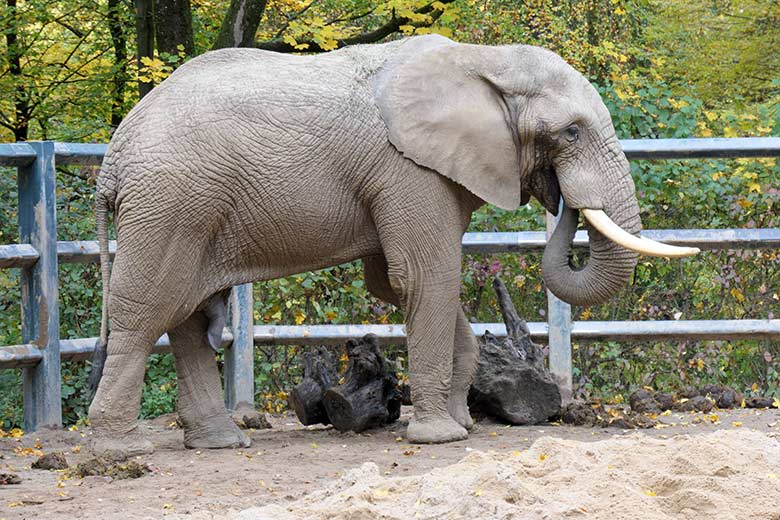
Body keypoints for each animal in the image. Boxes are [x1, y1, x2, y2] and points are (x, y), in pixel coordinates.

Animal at [87, 34, 696, 452]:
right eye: (570, 132)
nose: (561, 197)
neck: (483, 61)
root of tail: (113, 158)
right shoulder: (408, 169)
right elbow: (424, 277)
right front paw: (440, 439)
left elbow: (404, 284)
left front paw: (461, 424)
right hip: (172, 203)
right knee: (147, 311)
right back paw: (116, 450)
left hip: (184, 208)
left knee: (186, 317)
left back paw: (220, 444)